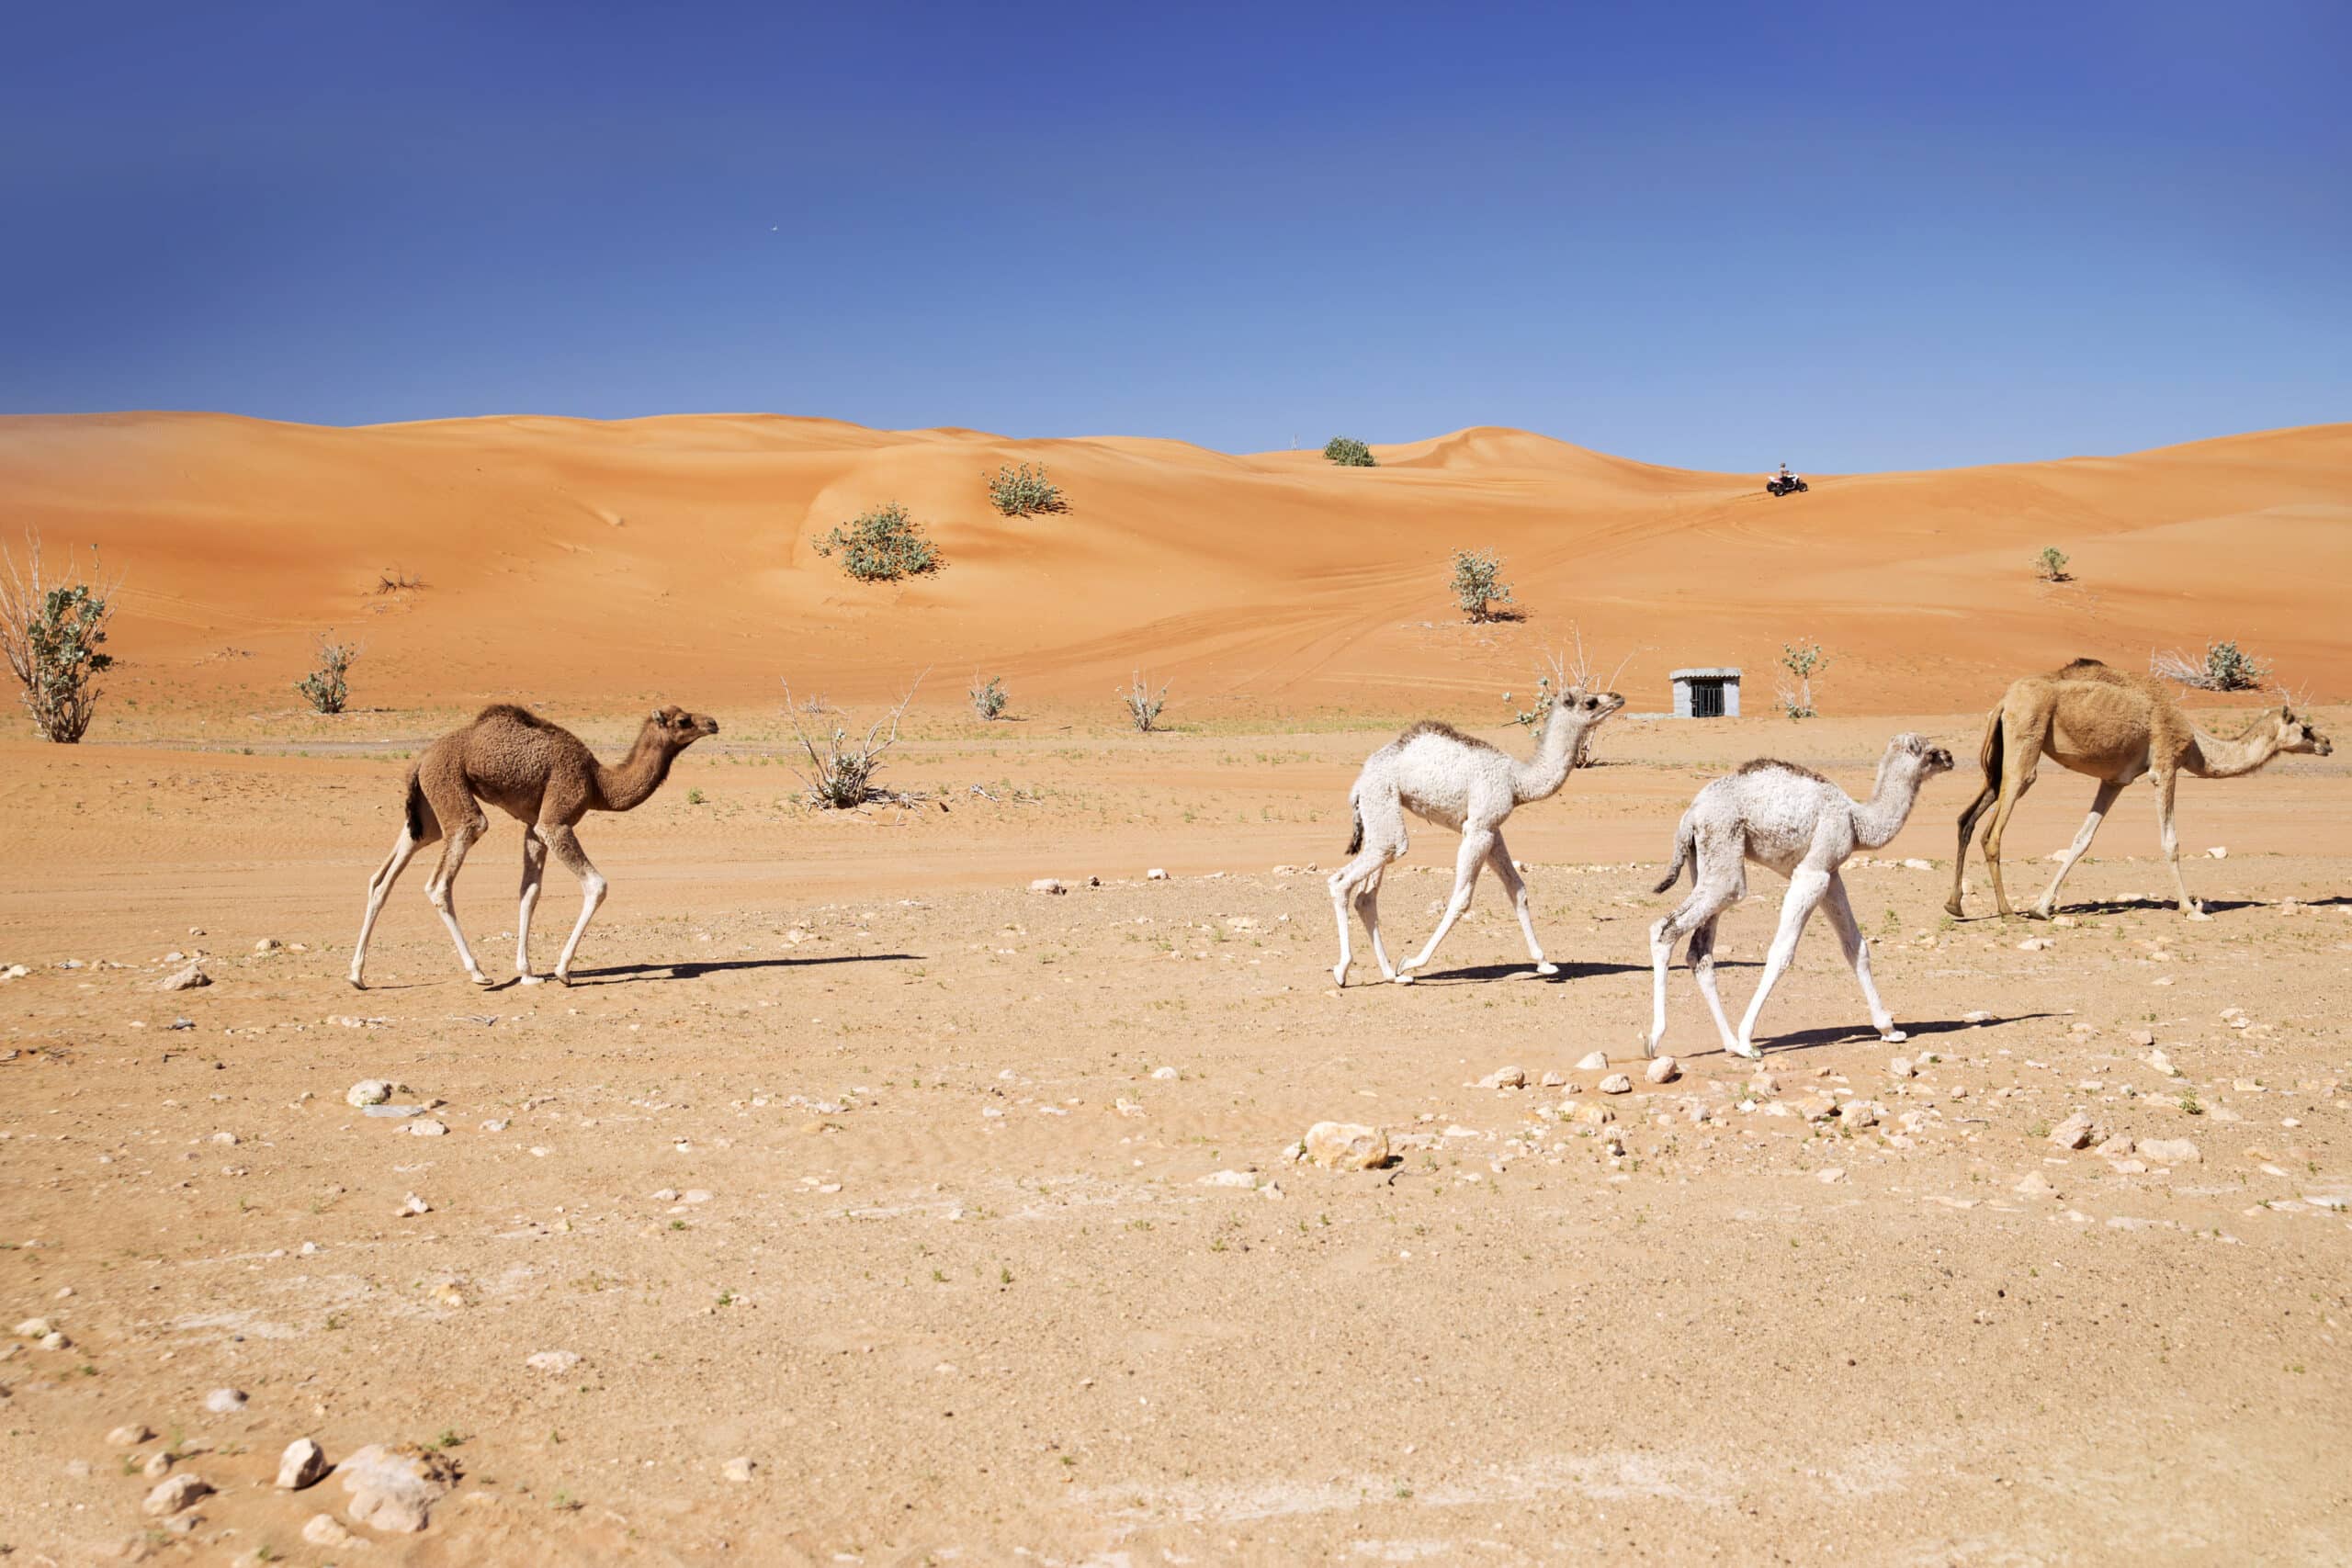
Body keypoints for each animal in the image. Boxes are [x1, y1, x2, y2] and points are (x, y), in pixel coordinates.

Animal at [347, 705, 715, 987]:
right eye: (683, 720)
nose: (712, 722)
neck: (599, 784)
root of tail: (421, 759)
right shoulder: (556, 819)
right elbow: (596, 885)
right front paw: (562, 970)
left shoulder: (533, 828)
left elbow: (529, 892)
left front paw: (527, 972)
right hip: (453, 794)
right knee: (441, 880)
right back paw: (477, 972)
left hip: (429, 812)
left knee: (383, 877)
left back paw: (357, 975)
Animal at [1336, 682, 1627, 987]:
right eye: (1591, 702)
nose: (1618, 697)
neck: (1517, 782)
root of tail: (1360, 780)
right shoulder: (1478, 829)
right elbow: (1461, 898)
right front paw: (1413, 961)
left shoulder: (1493, 829)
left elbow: (1517, 888)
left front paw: (1545, 963)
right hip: (1382, 799)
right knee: (1344, 879)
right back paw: (1344, 971)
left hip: (1379, 814)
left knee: (1366, 895)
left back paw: (1392, 975)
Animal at [1646, 733, 1956, 1053]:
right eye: (1930, 751)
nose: (1949, 758)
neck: (1856, 822)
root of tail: (1690, 816)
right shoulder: (1812, 873)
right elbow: (1781, 952)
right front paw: (1748, 1036)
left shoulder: (1832, 874)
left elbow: (1856, 947)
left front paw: (1890, 1029)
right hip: (1725, 855)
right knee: (1665, 928)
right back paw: (1660, 1039)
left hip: (1705, 864)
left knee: (1700, 953)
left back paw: (1731, 1044)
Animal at [1947, 658, 2333, 921]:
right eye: (2305, 728)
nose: (2328, 743)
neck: (2196, 745)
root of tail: (2004, 702)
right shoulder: (2164, 767)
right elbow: (2170, 842)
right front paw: (2190, 907)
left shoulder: (2114, 780)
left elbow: (2081, 840)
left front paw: (2041, 907)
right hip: (2025, 743)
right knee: (1994, 830)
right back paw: (2006, 910)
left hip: (1999, 757)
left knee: (1967, 818)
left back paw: (1955, 906)